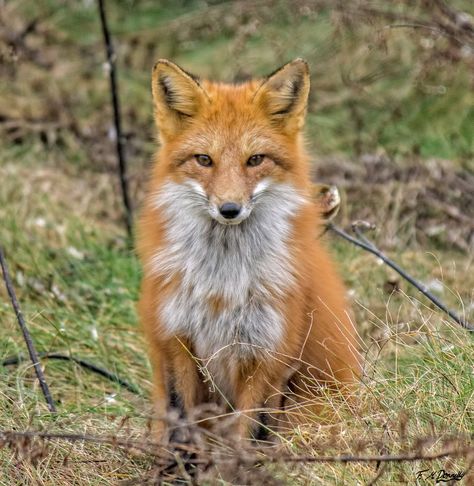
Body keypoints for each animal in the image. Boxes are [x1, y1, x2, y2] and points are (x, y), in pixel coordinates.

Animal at [138, 58, 362, 440]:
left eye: (255, 159)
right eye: (204, 159)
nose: (229, 209)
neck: (221, 283)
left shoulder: (268, 353)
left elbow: (249, 432)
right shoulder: (175, 340)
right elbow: (181, 423)